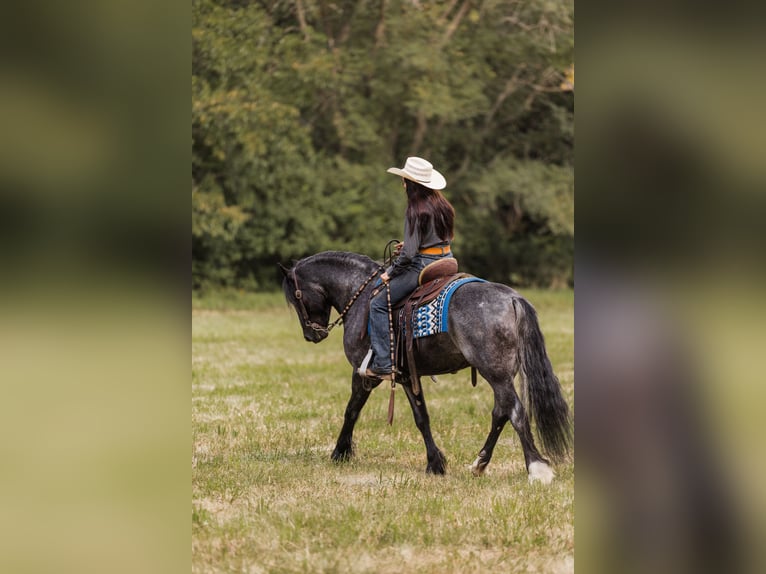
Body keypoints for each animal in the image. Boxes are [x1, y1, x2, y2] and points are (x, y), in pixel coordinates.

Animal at [280, 251, 571, 483]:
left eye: (296, 297)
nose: (312, 334)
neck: (362, 296)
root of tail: (512, 298)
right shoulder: (408, 376)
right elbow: (422, 417)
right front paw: (435, 463)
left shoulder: (364, 374)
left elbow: (351, 411)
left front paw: (339, 452)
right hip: (501, 374)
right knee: (501, 412)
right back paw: (479, 463)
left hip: (496, 374)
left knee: (516, 412)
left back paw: (536, 468)